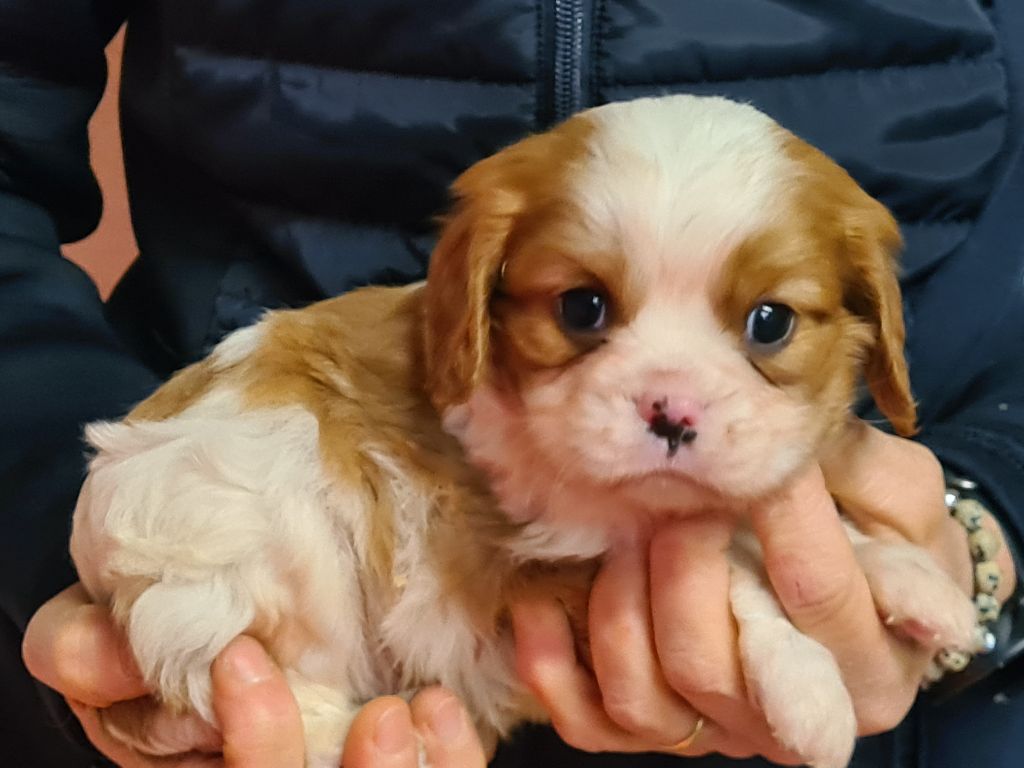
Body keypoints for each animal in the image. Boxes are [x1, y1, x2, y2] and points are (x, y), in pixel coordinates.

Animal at [70, 96, 974, 768]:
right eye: (582, 308)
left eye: (771, 322)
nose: (671, 409)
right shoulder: (530, 549)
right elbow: (736, 574)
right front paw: (809, 687)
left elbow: (769, 535)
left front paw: (915, 580)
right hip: (264, 528)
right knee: (241, 675)